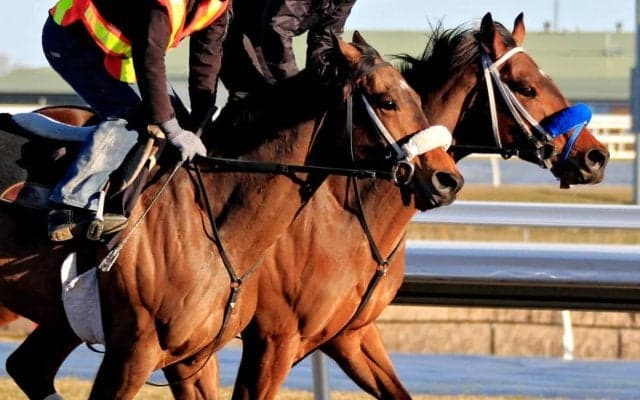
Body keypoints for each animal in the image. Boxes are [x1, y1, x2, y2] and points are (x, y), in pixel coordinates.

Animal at [0, 35, 462, 399]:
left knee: (29, 367)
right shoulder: (137, 352)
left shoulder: (194, 357)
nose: (447, 180)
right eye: (388, 101)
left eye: (417, 98)